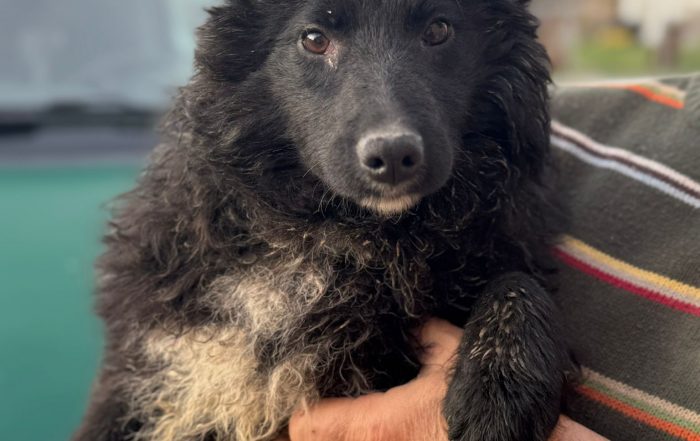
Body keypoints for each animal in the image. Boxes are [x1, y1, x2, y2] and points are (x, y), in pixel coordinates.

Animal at [75, 1, 571, 440]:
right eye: (314, 39)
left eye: (438, 30)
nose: (393, 154)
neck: (333, 238)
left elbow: (516, 282)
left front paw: (499, 392)